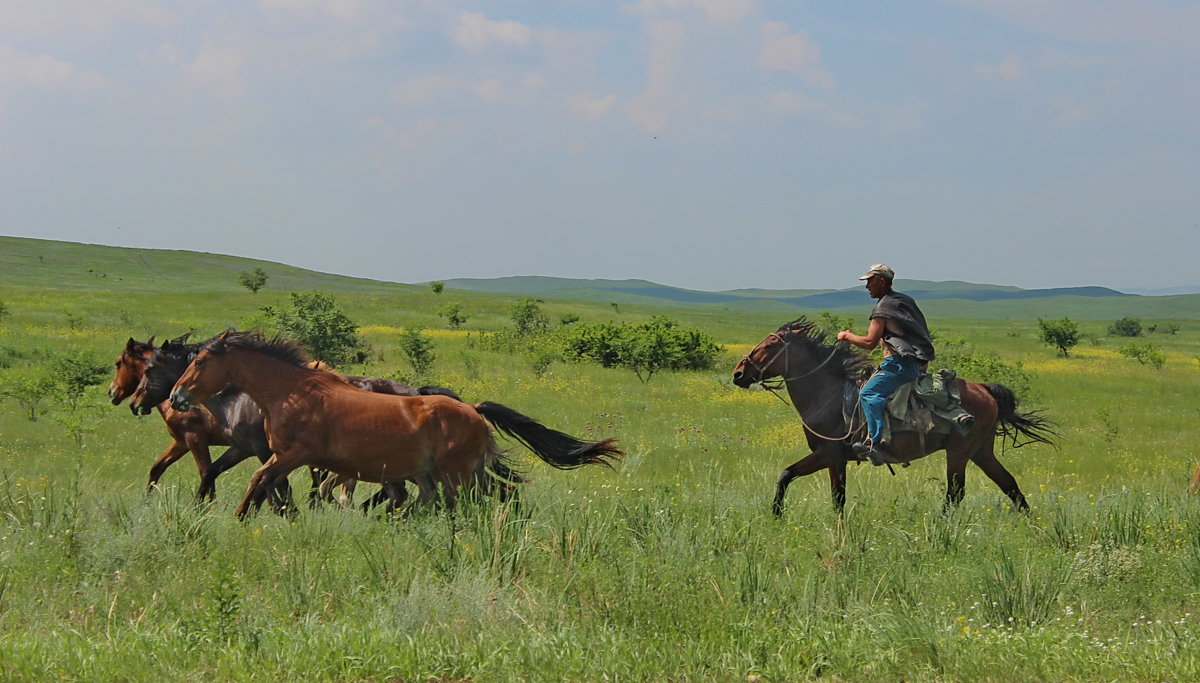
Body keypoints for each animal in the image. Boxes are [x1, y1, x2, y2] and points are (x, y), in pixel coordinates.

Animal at [166, 331, 619, 516]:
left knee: (467, 501)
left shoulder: (297, 454)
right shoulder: (281, 456)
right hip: (458, 473)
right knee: (497, 494)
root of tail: (472, 408)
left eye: (200, 362)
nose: (175, 397)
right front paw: (267, 514)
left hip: (456, 474)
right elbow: (269, 483)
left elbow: (260, 480)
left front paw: (243, 516)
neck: (293, 392)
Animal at [724, 319, 1056, 516]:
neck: (828, 395)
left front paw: (778, 515)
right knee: (1009, 485)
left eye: (769, 345)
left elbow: (800, 481)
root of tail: (984, 389)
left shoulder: (828, 453)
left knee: (956, 493)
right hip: (981, 451)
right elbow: (822, 491)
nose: (739, 373)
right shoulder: (835, 459)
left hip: (959, 452)